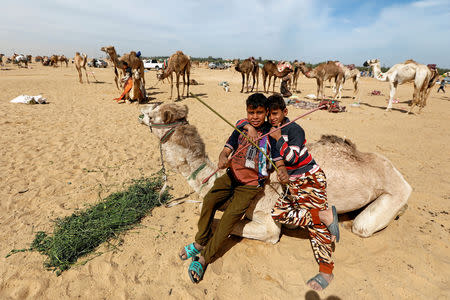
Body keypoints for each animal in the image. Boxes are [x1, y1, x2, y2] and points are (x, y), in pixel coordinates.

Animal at [140, 102, 412, 241]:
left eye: (153, 113)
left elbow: (230, 226)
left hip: (395, 190)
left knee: (362, 226)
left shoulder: (266, 218)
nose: (140, 113)